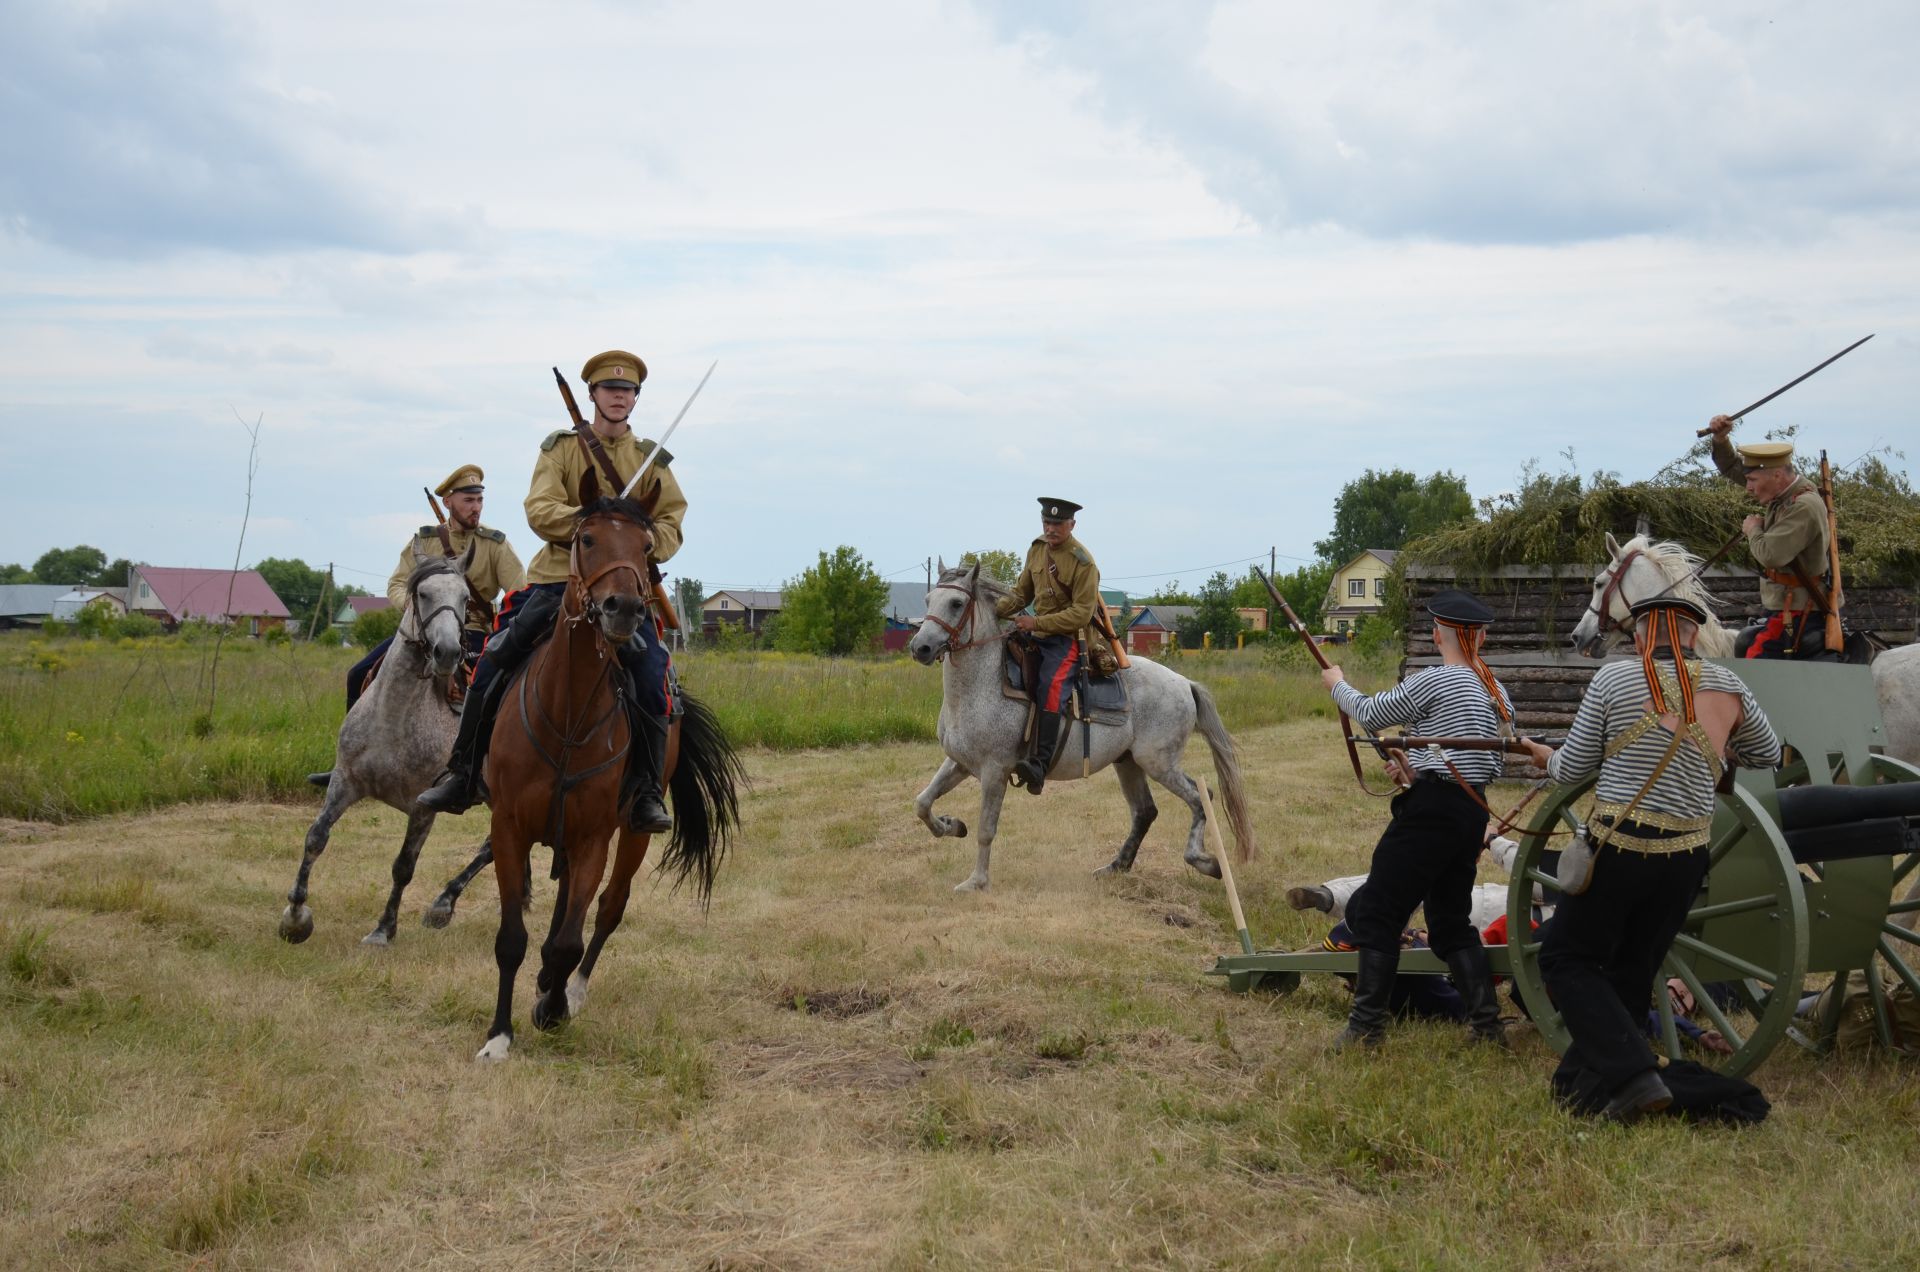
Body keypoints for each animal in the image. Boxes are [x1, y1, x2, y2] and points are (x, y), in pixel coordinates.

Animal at [280, 549, 483, 945]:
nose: (448, 652)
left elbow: (403, 866)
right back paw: (446, 902)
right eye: (423, 593)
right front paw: (295, 917)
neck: (395, 718)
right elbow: (316, 838)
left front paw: (383, 929)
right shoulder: (345, 782)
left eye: (466, 598)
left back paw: (444, 903)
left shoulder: (423, 808)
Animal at [476, 472, 737, 1060]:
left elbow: (569, 940)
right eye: (587, 538)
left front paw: (552, 1008)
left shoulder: (595, 835)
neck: (566, 714)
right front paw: (499, 1035)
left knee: (609, 908)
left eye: (646, 547)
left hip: (632, 833)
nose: (624, 609)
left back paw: (567, 990)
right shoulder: (508, 829)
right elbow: (512, 938)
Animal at [910, 568, 1259, 895]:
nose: (920, 647)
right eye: (927, 600)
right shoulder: (960, 763)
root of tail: (1185, 683)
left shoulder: (995, 770)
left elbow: (986, 829)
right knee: (1145, 811)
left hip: (1159, 763)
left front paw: (976, 882)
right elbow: (923, 802)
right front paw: (951, 825)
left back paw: (1204, 862)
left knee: (1201, 797)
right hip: (1128, 763)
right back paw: (1115, 867)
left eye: (956, 603)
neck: (982, 685)